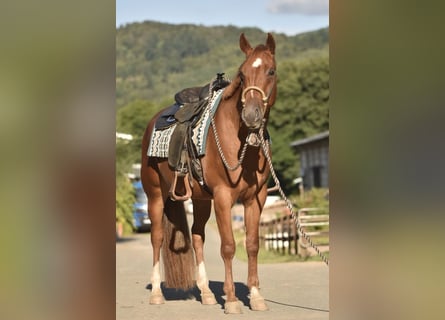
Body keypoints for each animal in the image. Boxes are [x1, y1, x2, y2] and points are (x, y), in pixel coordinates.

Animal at [140, 33, 276, 314]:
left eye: (271, 71)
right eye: (242, 74)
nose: (251, 115)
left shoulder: (256, 198)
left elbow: (252, 245)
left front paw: (256, 296)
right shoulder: (224, 197)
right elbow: (228, 247)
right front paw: (232, 300)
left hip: (200, 199)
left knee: (197, 236)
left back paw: (206, 293)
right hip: (155, 196)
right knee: (157, 238)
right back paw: (157, 292)